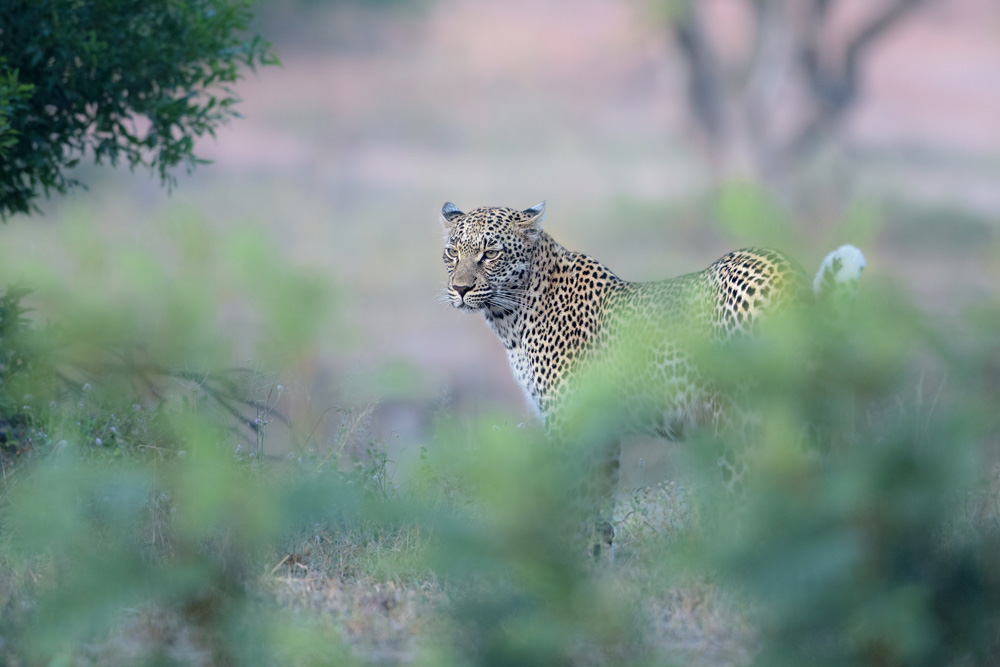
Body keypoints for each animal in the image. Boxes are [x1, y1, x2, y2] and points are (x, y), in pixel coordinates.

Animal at [440, 201, 868, 556]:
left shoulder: (572, 424)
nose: (460, 289)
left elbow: (577, 502)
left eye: (490, 253)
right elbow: (599, 508)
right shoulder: (601, 433)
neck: (510, 316)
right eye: (452, 252)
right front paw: (598, 565)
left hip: (746, 426)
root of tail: (789, 276)